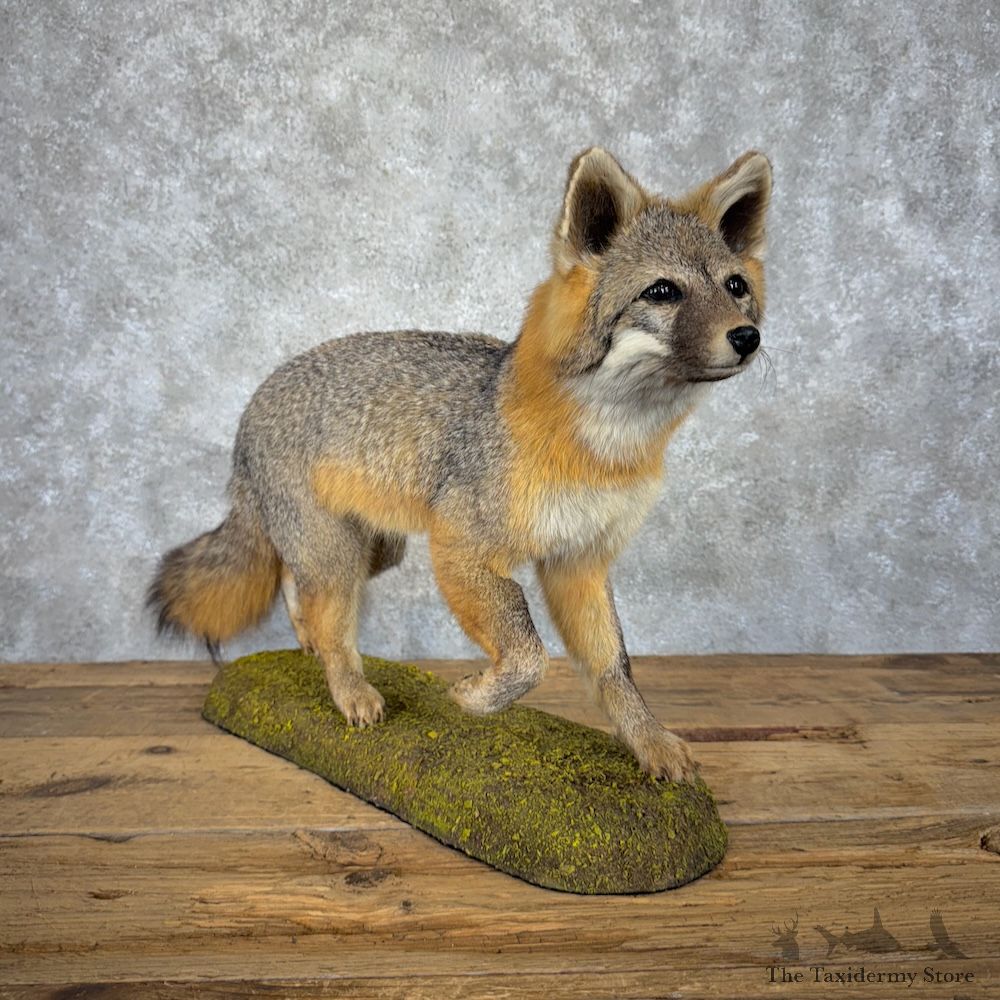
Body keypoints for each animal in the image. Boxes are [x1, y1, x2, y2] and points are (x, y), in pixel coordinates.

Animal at [148, 146, 772, 782]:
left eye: (736, 286)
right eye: (663, 291)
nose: (747, 337)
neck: (603, 450)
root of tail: (254, 402)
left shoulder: (580, 561)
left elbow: (614, 667)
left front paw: (647, 740)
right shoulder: (460, 548)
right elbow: (529, 655)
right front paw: (474, 696)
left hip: (378, 550)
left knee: (298, 588)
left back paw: (309, 645)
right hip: (341, 555)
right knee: (330, 616)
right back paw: (350, 690)